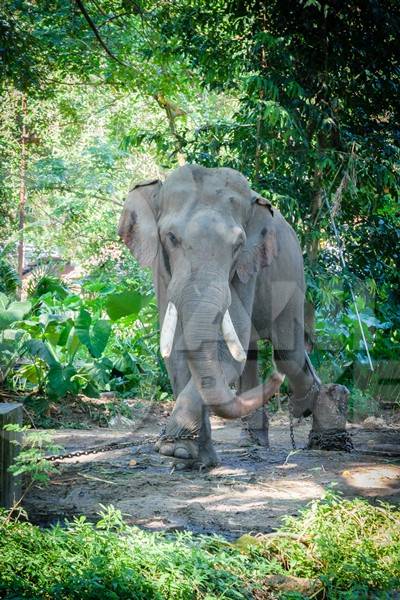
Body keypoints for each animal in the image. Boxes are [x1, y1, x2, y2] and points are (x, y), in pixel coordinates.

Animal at [119, 165, 350, 468]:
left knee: (286, 353)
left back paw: (315, 410)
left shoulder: (248, 267)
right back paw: (254, 440)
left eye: (238, 244)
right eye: (170, 237)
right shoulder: (162, 270)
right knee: (253, 353)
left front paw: (178, 448)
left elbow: (226, 346)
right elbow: (176, 350)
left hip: (294, 281)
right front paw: (188, 455)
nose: (273, 381)